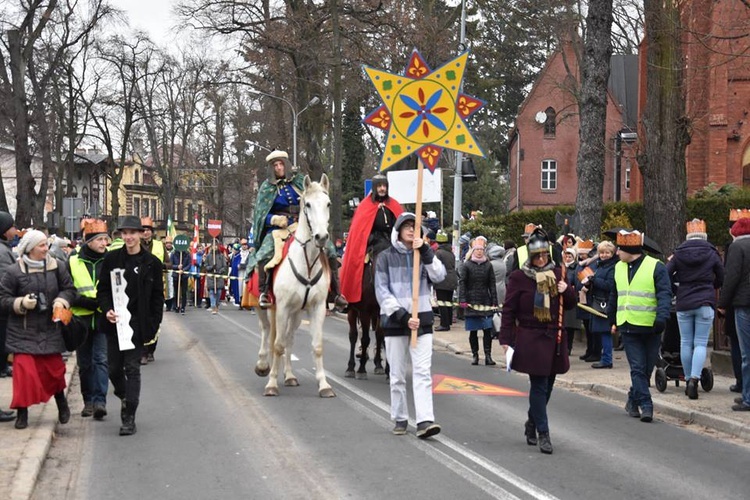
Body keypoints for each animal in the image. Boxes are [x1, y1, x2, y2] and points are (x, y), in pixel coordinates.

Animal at [254, 174, 336, 396]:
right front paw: (272, 384)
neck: (305, 262)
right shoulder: (281, 307)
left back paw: (290, 375)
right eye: (307, 204)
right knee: (266, 331)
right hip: (264, 307)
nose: (321, 237)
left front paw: (324, 385)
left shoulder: (316, 308)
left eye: (328, 203)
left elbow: (316, 346)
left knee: (289, 339)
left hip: (296, 312)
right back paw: (263, 365)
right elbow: (277, 345)